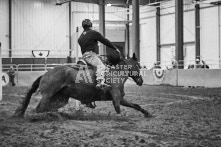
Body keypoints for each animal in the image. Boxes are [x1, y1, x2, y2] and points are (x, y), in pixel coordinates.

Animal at [13, 53, 152, 117]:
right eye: (138, 66)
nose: (141, 81)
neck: (115, 74)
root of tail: (44, 74)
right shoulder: (116, 98)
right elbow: (118, 110)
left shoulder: (121, 99)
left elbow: (136, 105)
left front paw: (147, 114)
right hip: (47, 96)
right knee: (39, 109)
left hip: (60, 98)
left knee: (45, 108)